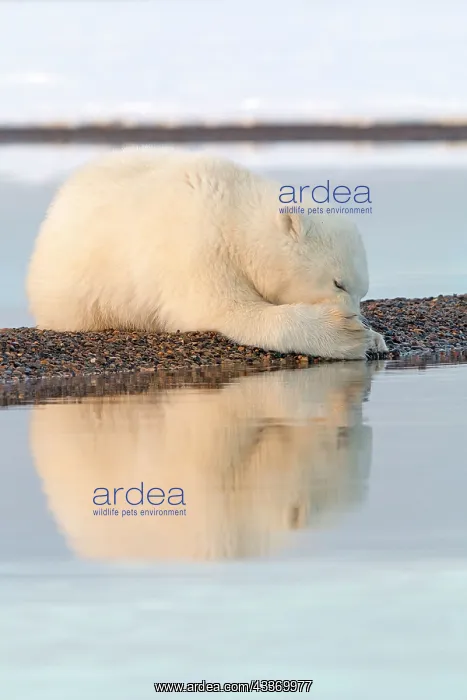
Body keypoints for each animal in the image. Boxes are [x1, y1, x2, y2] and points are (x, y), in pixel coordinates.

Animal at [26, 147, 387, 359]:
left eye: (362, 291)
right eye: (338, 283)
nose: (354, 315)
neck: (231, 208)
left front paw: (375, 338)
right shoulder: (195, 246)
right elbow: (223, 309)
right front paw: (348, 335)